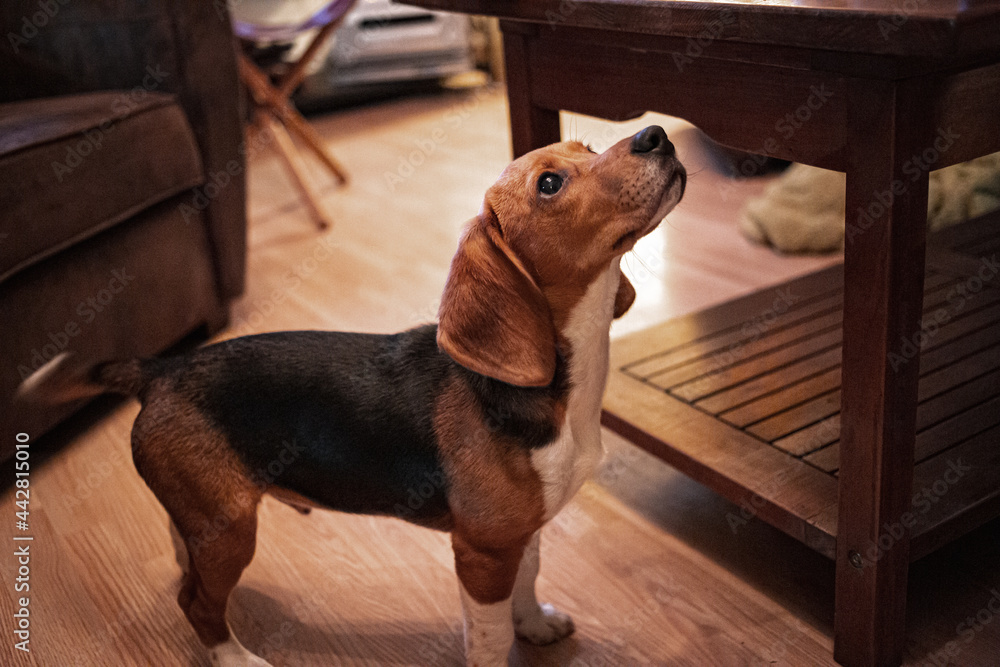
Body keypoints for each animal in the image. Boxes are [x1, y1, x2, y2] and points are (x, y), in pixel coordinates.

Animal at [17, 124, 688, 664]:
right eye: (550, 183)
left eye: (589, 150)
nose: (656, 134)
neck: (559, 390)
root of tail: (161, 368)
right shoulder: (480, 553)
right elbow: (490, 634)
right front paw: (508, 641)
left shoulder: (519, 535)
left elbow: (530, 579)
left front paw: (536, 625)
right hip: (231, 528)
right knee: (197, 604)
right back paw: (236, 657)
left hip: (203, 518)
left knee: (186, 565)